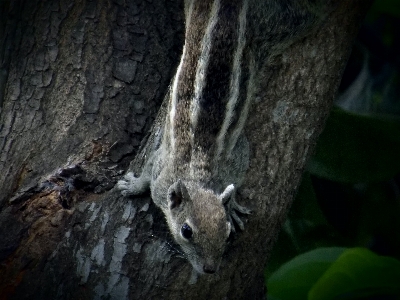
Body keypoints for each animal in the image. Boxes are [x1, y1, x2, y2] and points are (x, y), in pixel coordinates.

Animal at [119, 0, 332, 276]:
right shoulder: (161, 172)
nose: (210, 269)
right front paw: (133, 186)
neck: (199, 176)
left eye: (227, 232)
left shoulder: (237, 158)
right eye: (186, 231)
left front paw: (232, 207)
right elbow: (148, 173)